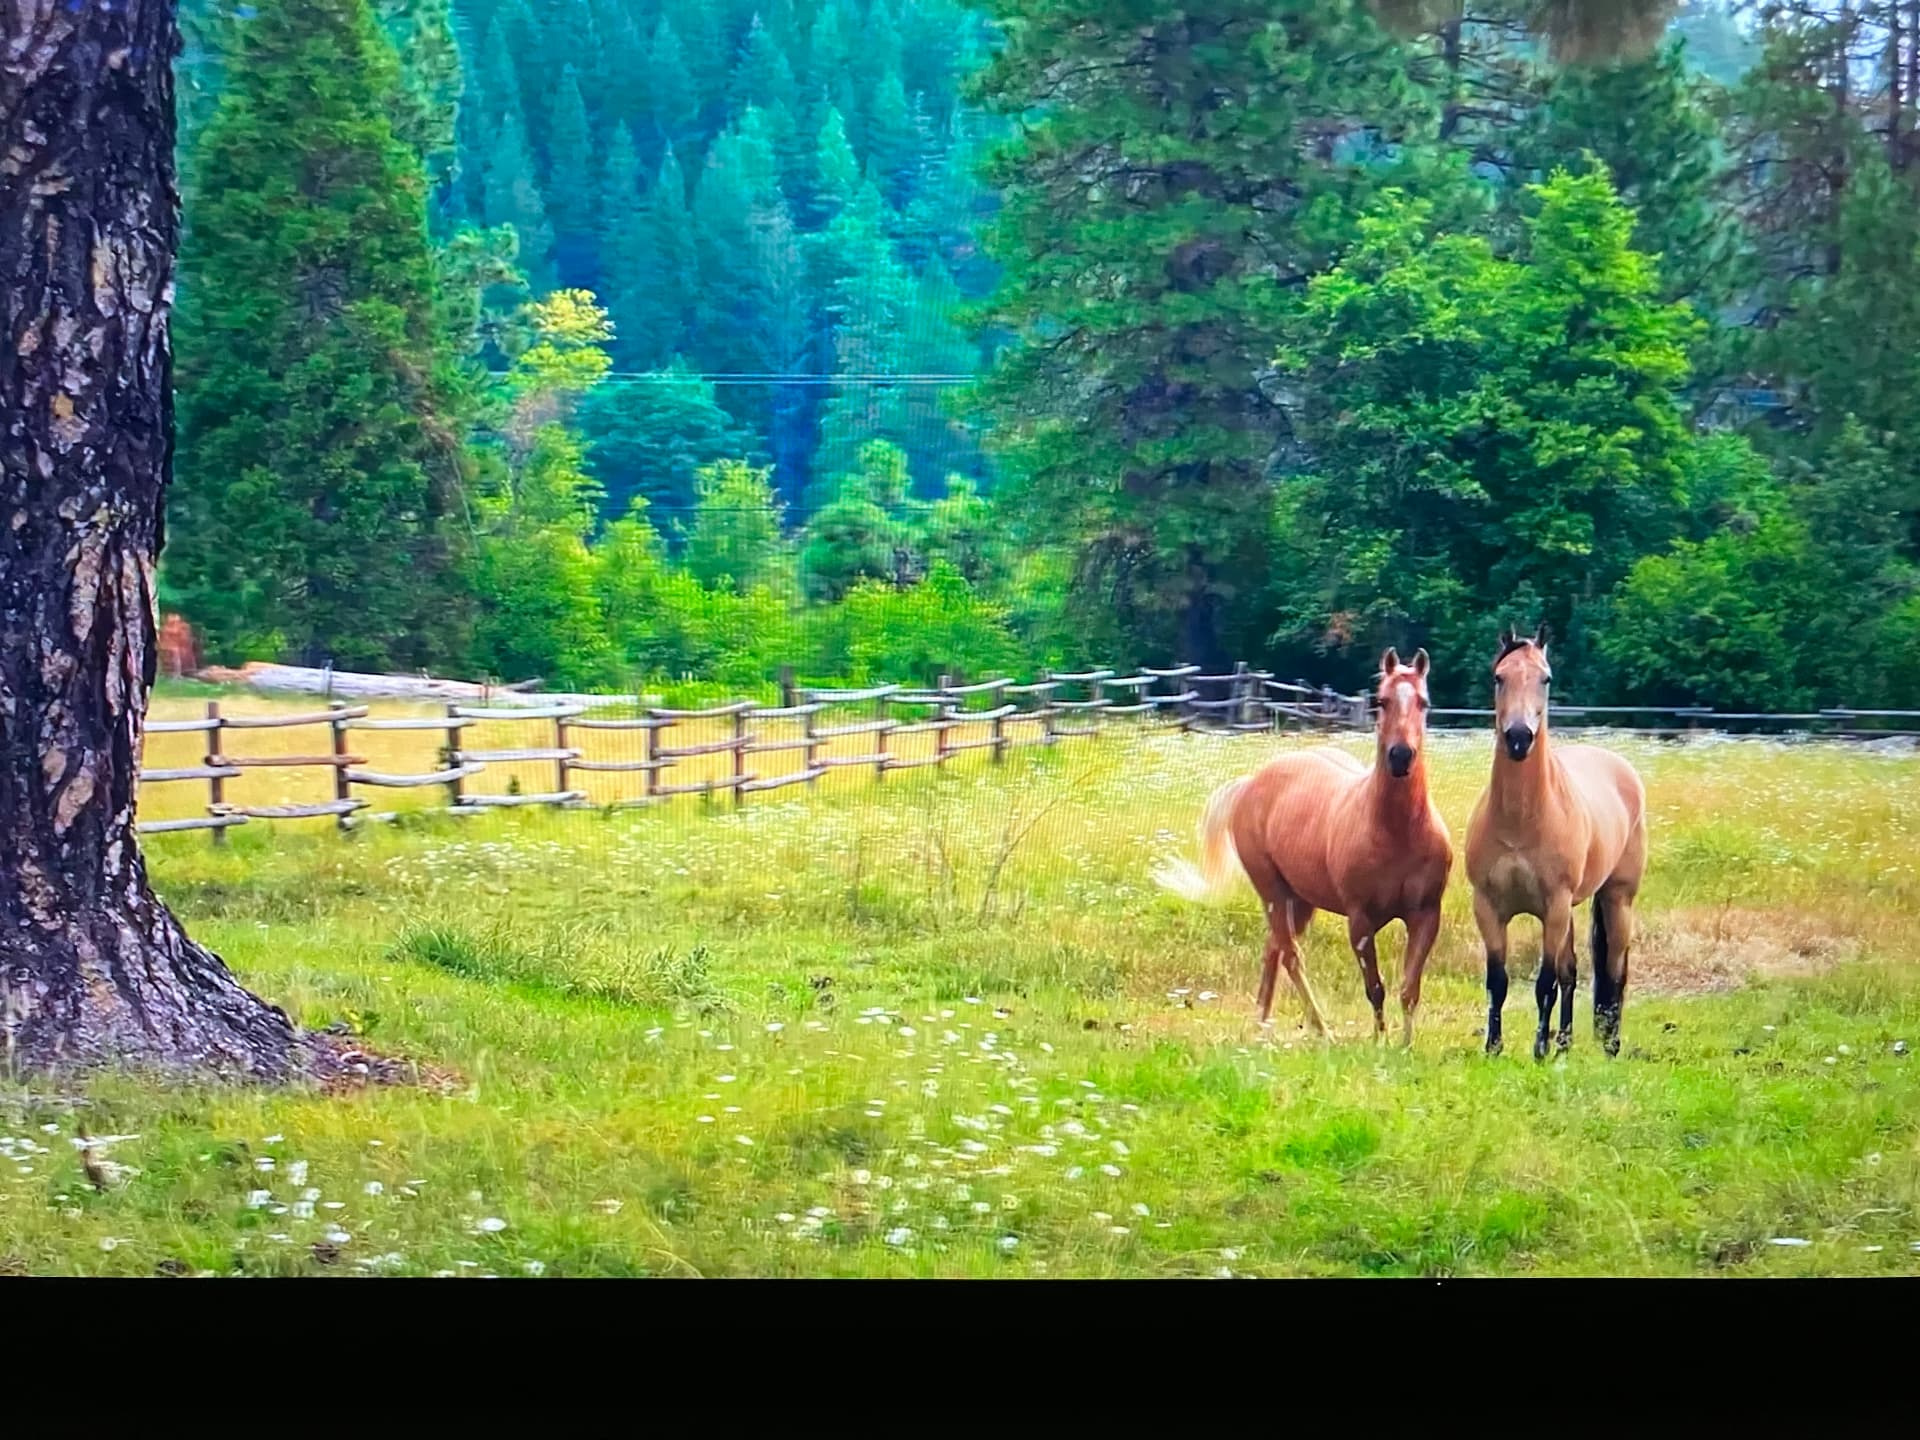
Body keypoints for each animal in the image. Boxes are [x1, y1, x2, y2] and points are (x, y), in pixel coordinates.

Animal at [1154, 648, 1453, 1044]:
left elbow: (1409, 989)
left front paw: (1404, 1045)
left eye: (1424, 702)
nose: (1401, 756)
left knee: (1274, 949)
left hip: (1300, 900)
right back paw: (1320, 1029)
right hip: (1273, 892)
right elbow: (1375, 987)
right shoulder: (1360, 922)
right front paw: (1379, 1042)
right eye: (1381, 701)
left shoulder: (1426, 916)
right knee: (1290, 955)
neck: (1397, 831)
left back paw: (1263, 1023)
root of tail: (1252, 784)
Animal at [1465, 626, 1647, 1059]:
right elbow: (1498, 981)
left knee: (1615, 970)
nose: (1519, 737)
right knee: (1573, 971)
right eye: (1499, 677)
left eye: (1545, 678)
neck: (1520, 822)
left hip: (1616, 900)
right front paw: (1494, 1047)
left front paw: (1538, 1049)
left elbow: (1544, 982)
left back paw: (1609, 1045)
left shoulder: (1554, 906)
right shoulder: (1488, 908)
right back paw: (1564, 1043)